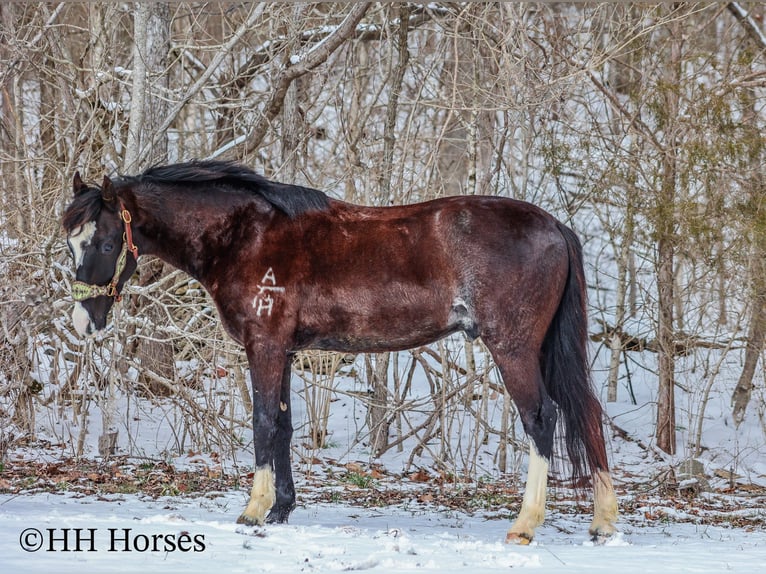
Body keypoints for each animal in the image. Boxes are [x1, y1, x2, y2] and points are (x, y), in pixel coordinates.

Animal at [62, 159, 618, 543]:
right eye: (72, 243)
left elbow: (263, 423)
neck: (245, 236)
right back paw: (603, 521)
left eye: (106, 242)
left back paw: (525, 524)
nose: (82, 322)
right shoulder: (284, 353)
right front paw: (281, 510)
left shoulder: (264, 348)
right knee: (587, 414)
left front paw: (253, 510)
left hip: (514, 348)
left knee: (542, 419)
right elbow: (284, 426)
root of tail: (555, 227)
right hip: (543, 350)